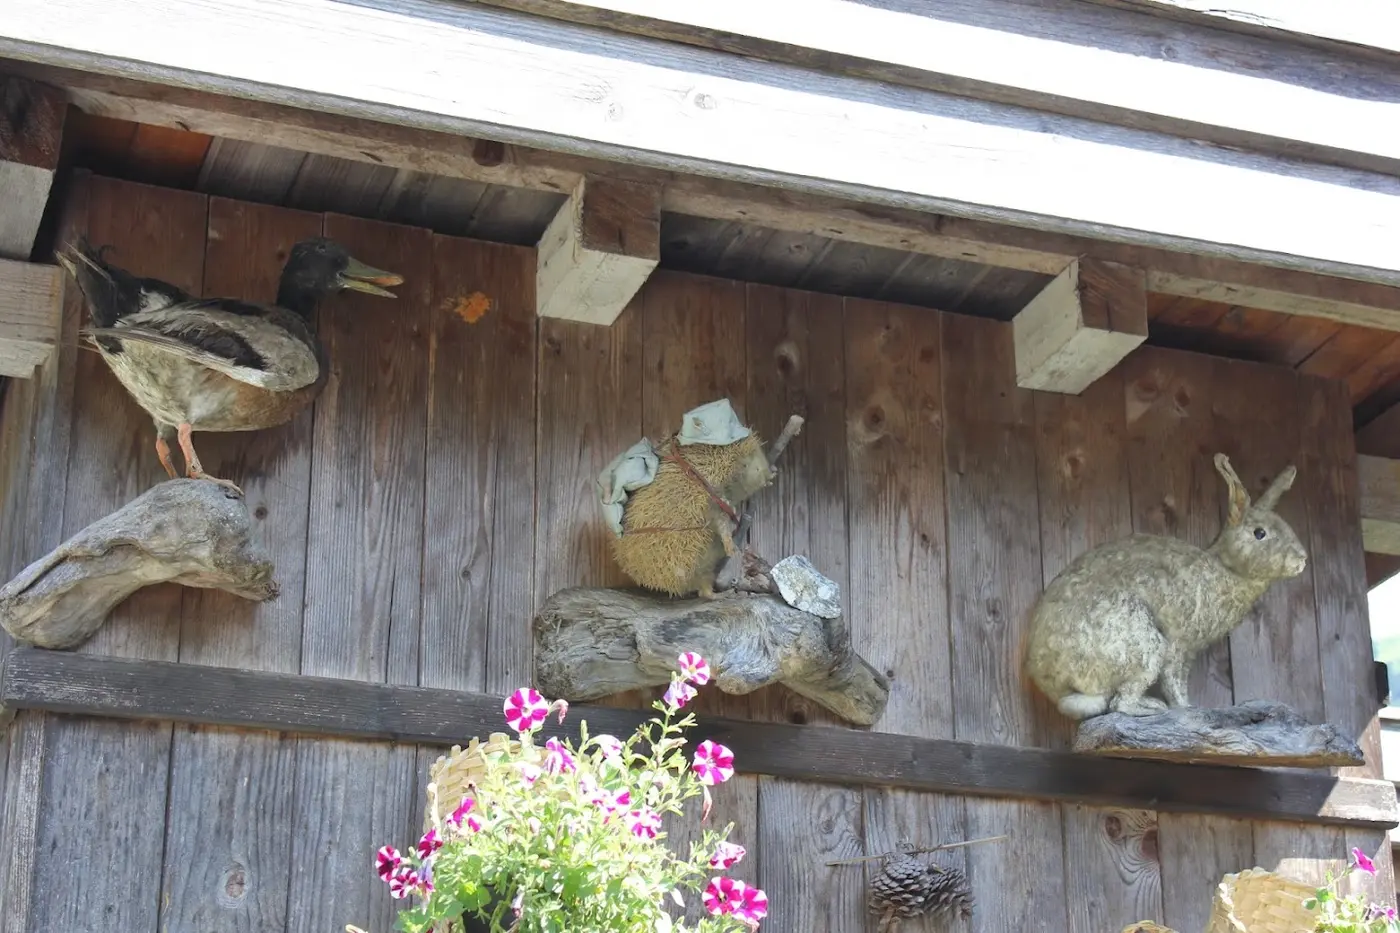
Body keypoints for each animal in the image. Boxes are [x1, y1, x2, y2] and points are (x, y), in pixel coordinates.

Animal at [1025, 453, 1308, 720]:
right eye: (1260, 533)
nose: (1302, 559)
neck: (1226, 568)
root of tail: (1047, 678)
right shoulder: (1177, 645)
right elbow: (1174, 682)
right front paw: (1187, 708)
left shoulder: (1188, 653)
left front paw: (1188, 706)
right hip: (1143, 644)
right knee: (1120, 703)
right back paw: (1151, 708)